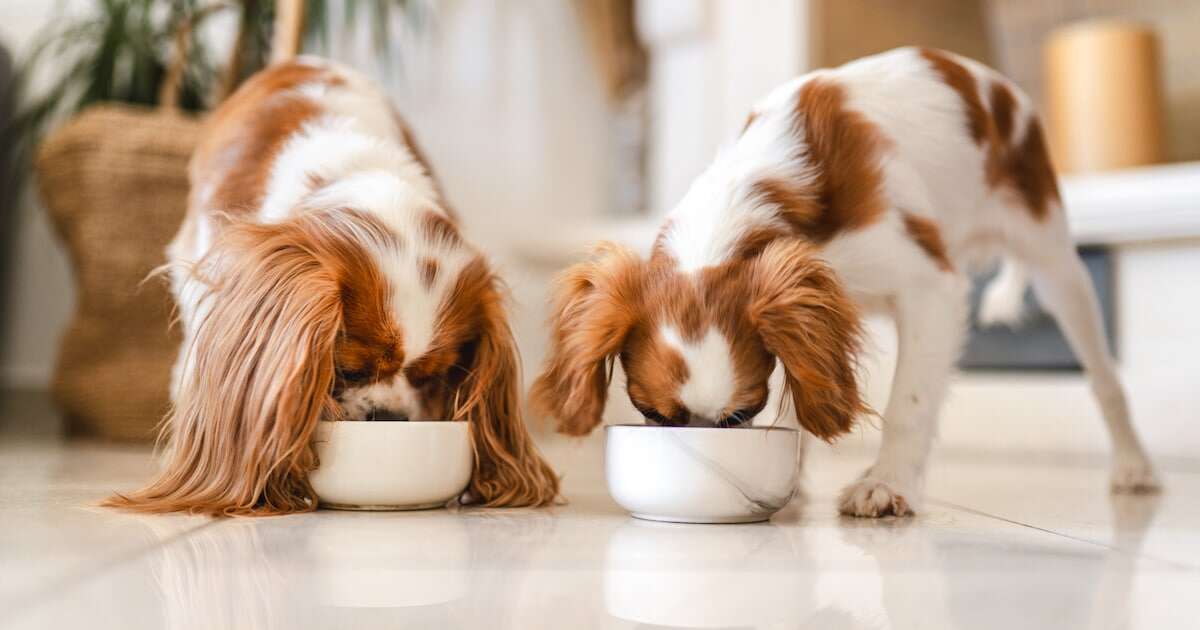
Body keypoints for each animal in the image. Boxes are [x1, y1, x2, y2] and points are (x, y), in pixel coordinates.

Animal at [530, 45, 1156, 516]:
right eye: (656, 416)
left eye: (743, 416)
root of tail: (1000, 88)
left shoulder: (931, 287)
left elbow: (908, 403)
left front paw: (887, 484)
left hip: (1054, 261)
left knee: (1106, 381)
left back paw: (1134, 466)